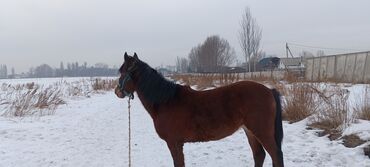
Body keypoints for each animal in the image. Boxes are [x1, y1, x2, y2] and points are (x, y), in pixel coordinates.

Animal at [115, 52, 284, 167]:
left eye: (122, 72)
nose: (117, 92)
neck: (166, 101)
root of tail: (269, 90)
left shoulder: (174, 143)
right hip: (250, 131)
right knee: (259, 155)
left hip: (261, 131)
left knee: (275, 155)